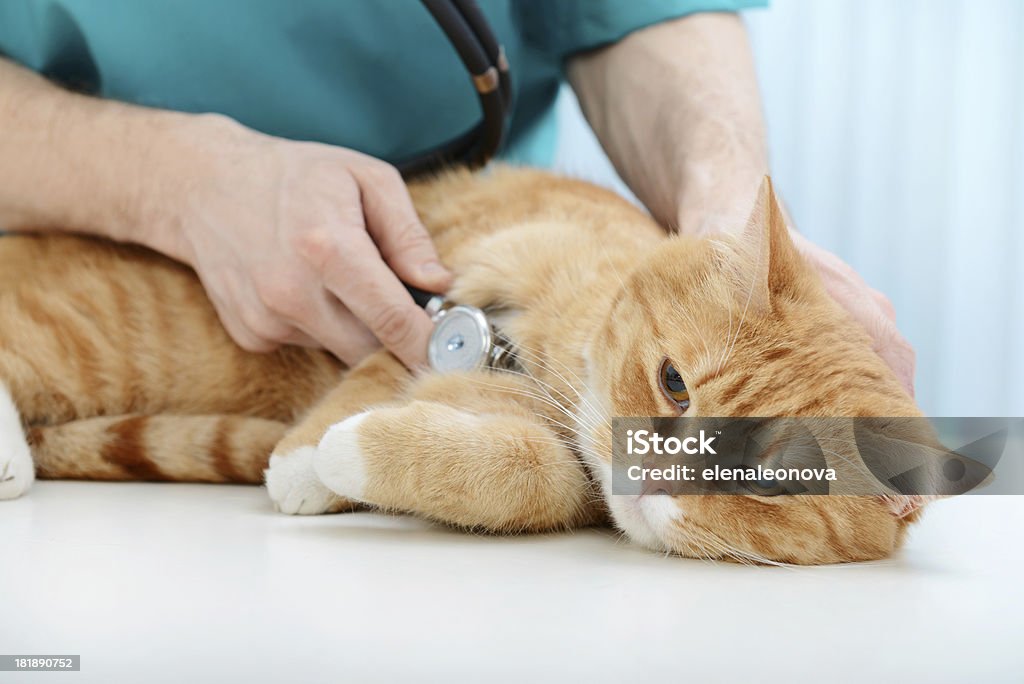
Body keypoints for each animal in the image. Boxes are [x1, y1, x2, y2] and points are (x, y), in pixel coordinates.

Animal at [0, 167, 929, 565]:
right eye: (673, 382)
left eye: (767, 485)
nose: (649, 479)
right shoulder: (455, 288)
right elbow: (378, 368)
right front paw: (305, 461)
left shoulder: (551, 461)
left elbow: (516, 473)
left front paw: (353, 455)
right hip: (106, 334)